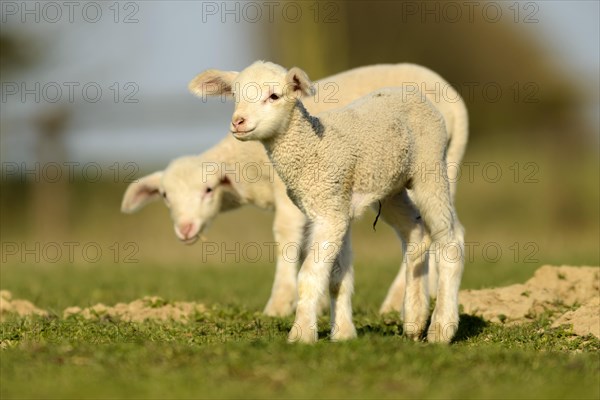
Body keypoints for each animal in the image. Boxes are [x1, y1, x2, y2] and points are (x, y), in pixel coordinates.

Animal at [190, 61, 466, 342]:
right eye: (235, 96)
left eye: (274, 96)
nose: (238, 122)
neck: (312, 147)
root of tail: (413, 94)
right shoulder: (335, 207)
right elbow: (336, 279)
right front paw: (343, 333)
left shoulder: (330, 212)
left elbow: (309, 276)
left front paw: (301, 334)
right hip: (391, 188)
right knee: (415, 232)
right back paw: (414, 319)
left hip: (430, 168)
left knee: (450, 240)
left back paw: (441, 328)